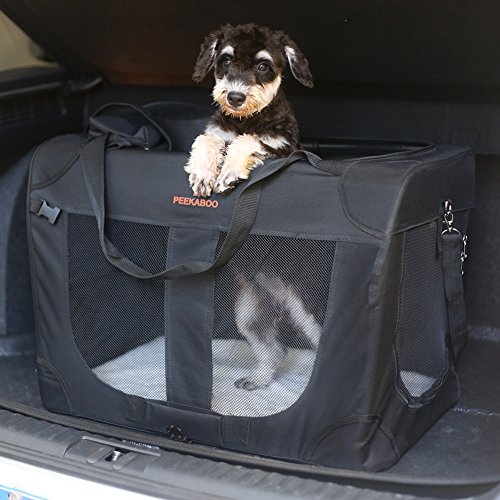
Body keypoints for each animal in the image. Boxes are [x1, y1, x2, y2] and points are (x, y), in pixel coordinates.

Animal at [185, 23, 313, 197]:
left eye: (263, 66)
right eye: (227, 61)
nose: (235, 98)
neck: (246, 119)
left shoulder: (283, 147)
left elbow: (247, 140)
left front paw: (228, 173)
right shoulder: (220, 132)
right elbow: (207, 138)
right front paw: (202, 175)